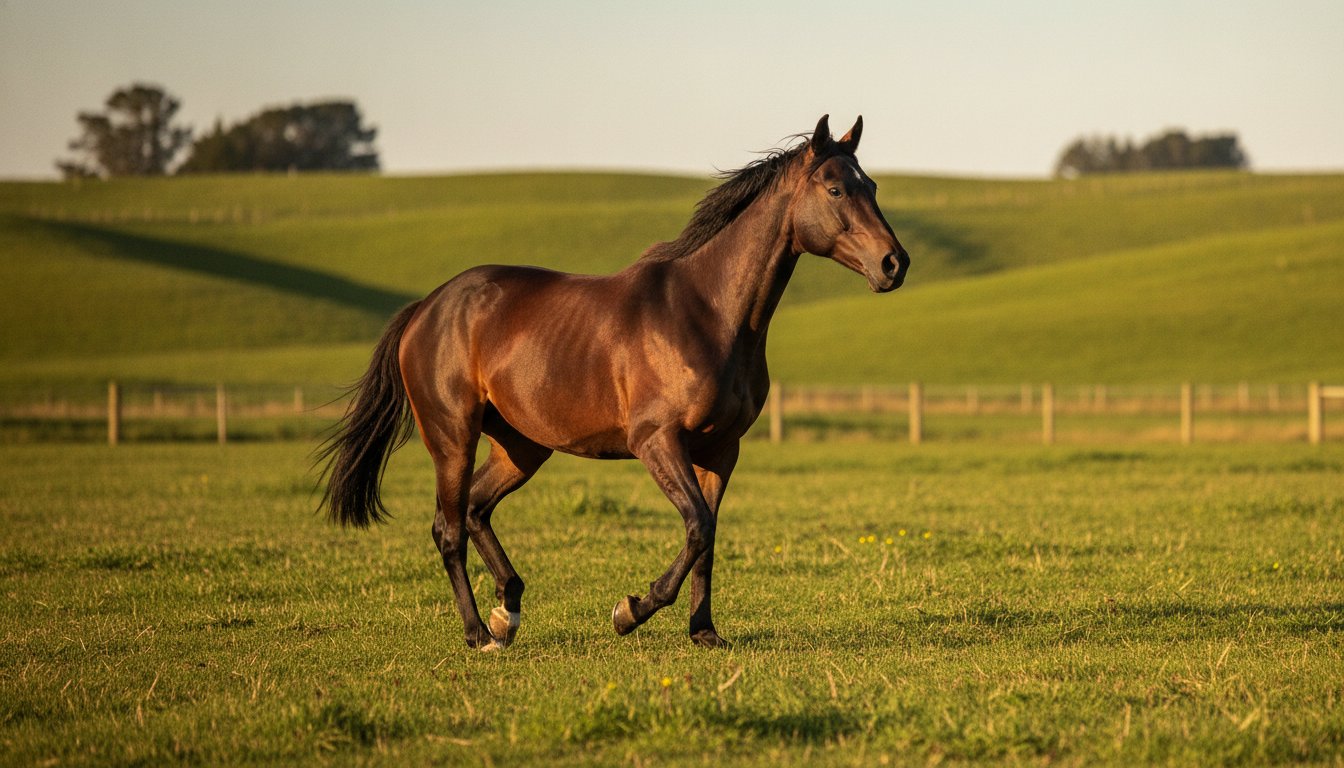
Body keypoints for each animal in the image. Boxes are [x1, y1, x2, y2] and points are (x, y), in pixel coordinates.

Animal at [317, 115, 909, 651]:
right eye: (835, 188)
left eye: (872, 186)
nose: (893, 264)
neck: (708, 312)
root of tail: (426, 309)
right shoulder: (656, 441)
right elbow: (697, 526)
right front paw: (630, 611)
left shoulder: (721, 449)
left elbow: (709, 537)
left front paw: (705, 633)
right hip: (452, 440)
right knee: (449, 528)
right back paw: (479, 633)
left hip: (521, 447)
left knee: (477, 510)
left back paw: (508, 610)